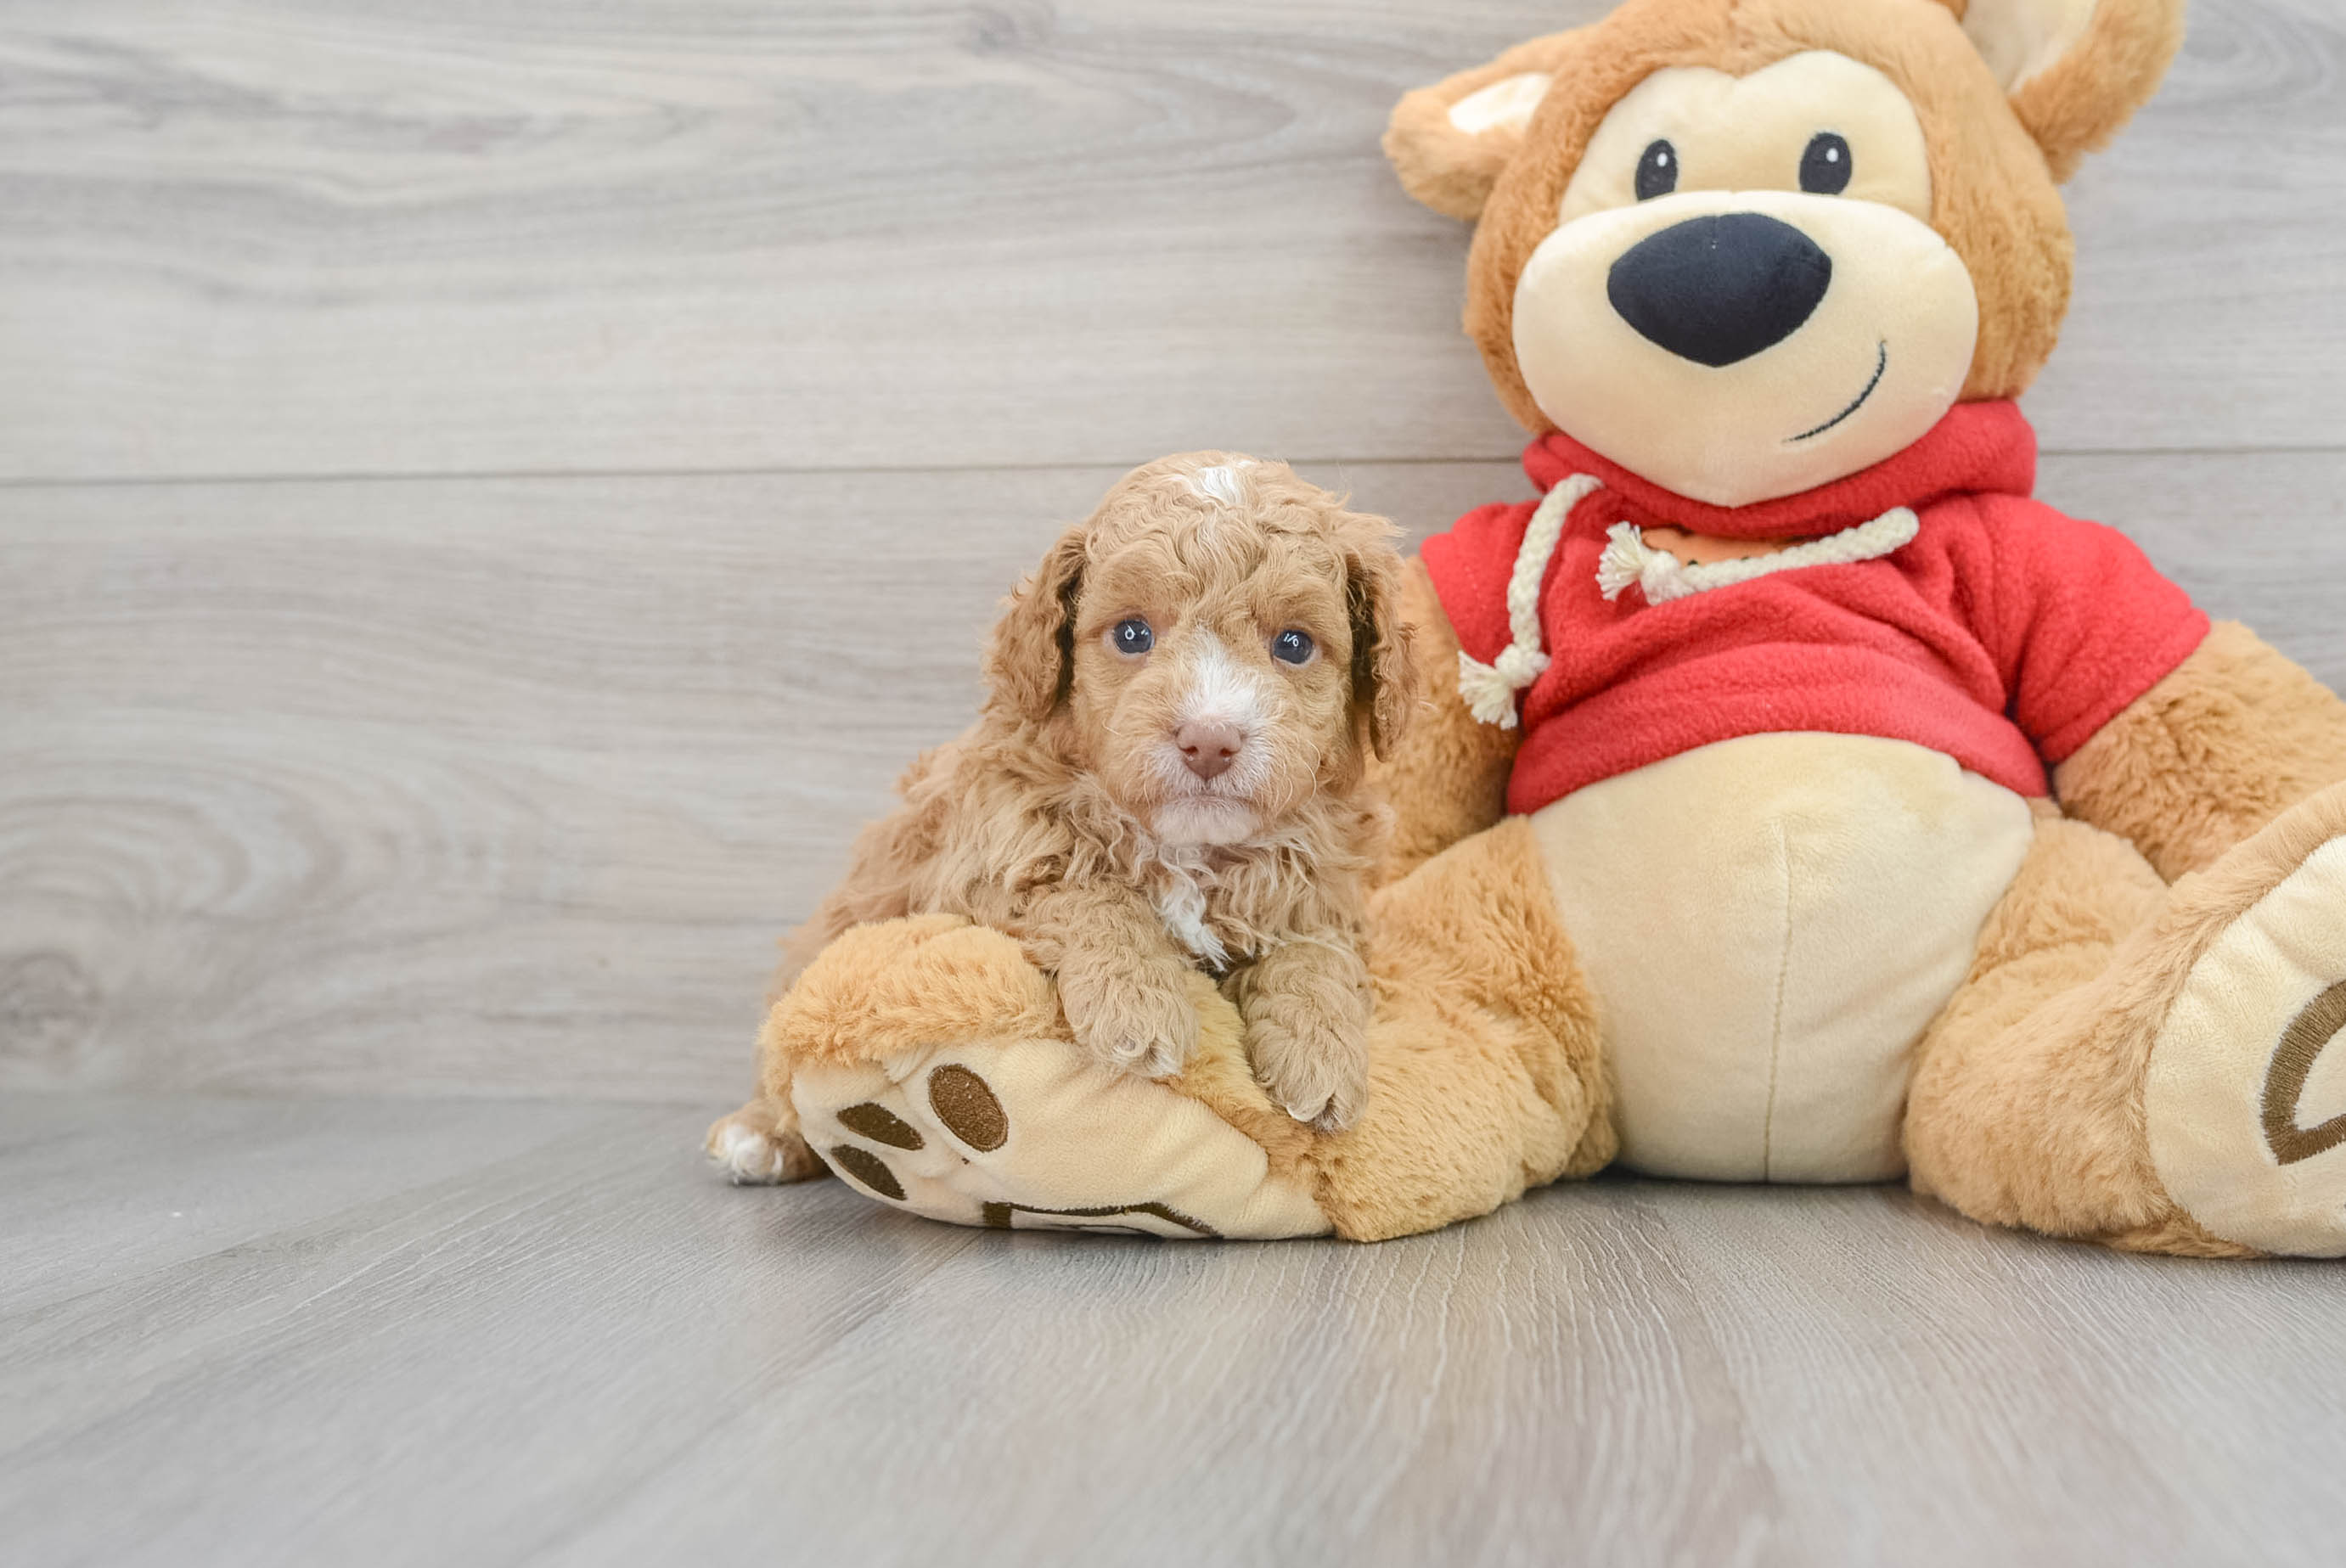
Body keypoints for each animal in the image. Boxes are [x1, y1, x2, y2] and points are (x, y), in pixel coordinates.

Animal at [703, 446, 1416, 1183]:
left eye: (1294, 645)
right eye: (1132, 633)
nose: (1209, 739)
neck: (1188, 847)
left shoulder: (1321, 890)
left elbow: (1315, 956)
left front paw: (1320, 1059)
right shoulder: (988, 850)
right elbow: (1084, 889)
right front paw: (1136, 1003)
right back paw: (761, 1135)